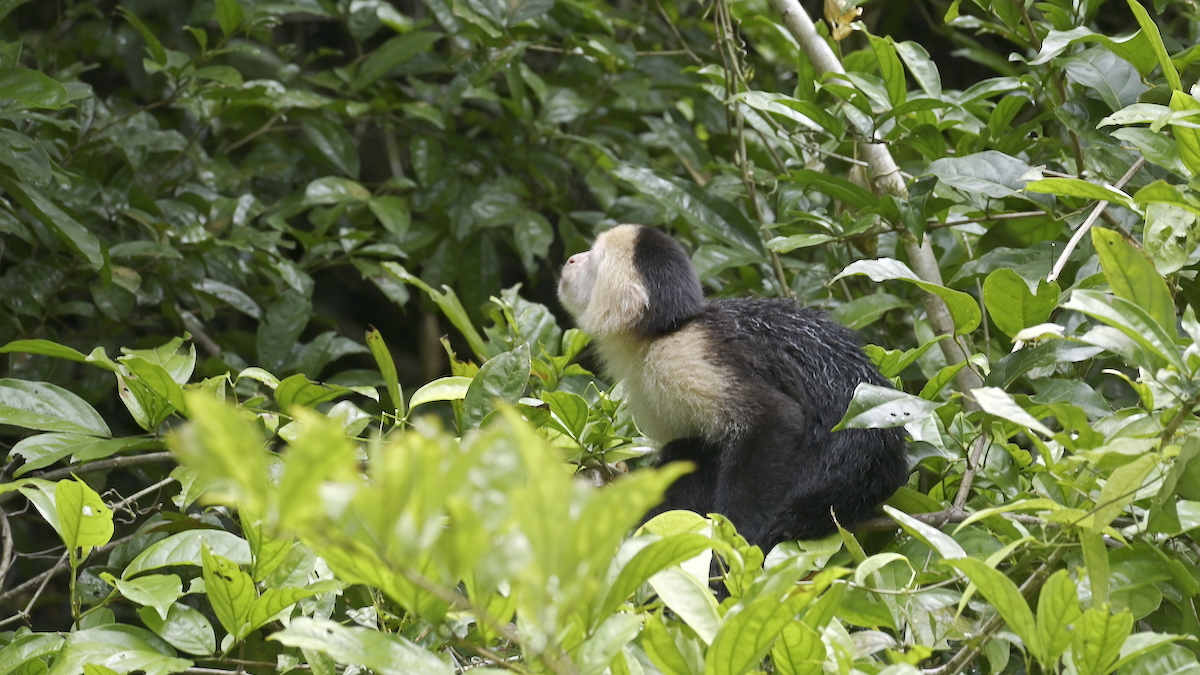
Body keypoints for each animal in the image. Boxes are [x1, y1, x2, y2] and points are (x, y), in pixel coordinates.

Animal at [557, 224, 909, 552]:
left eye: (595, 258)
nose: (571, 259)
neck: (663, 331)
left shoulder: (681, 355)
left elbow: (775, 418)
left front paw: (736, 540)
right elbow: (691, 448)